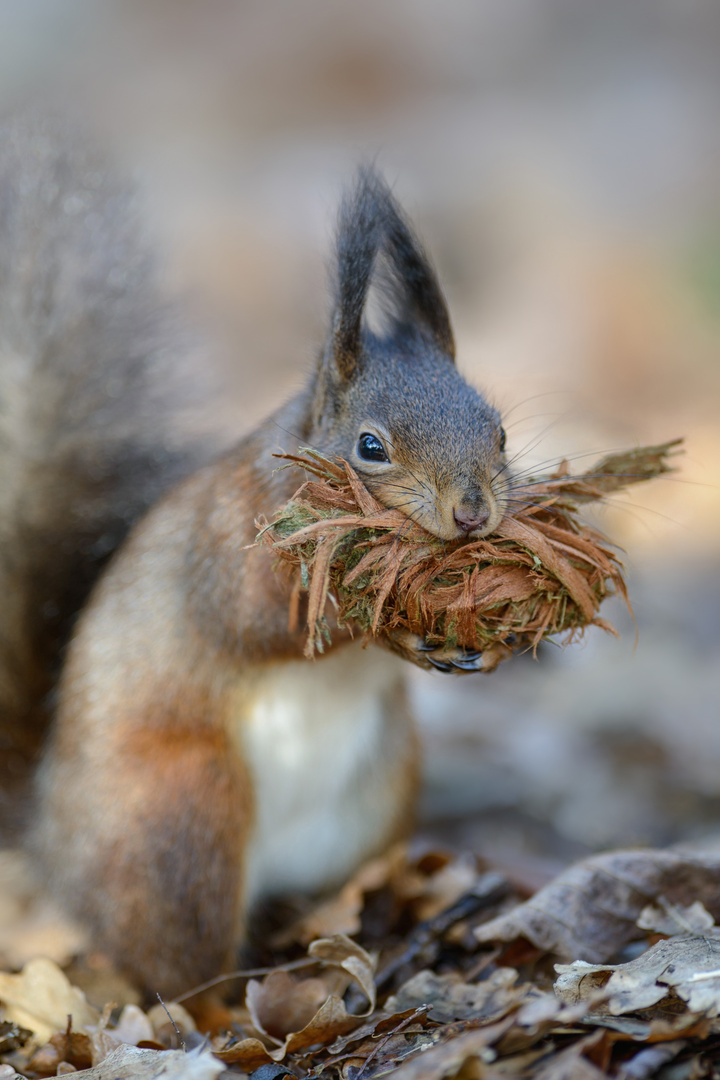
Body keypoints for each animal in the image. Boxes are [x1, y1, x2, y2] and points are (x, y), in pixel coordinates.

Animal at [0, 109, 509, 993]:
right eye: (370, 447)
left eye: (500, 430)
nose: (473, 512)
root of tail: (52, 845)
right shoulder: (231, 547)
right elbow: (266, 620)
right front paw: (393, 631)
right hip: (185, 815)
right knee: (172, 968)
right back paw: (224, 1001)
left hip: (381, 789)